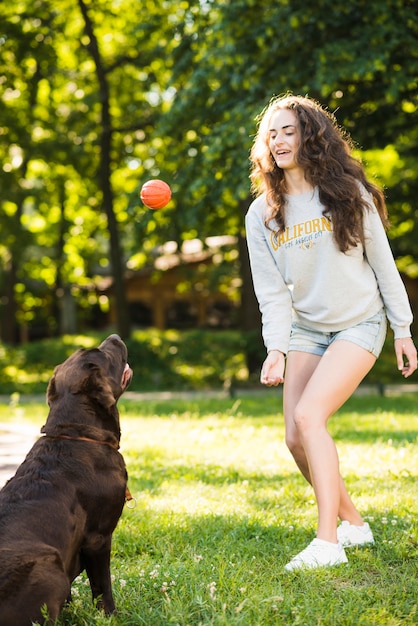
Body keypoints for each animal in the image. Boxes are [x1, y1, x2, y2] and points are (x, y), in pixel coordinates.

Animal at [0, 334, 132, 624]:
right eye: (101, 352)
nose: (115, 336)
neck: (77, 433)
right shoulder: (98, 537)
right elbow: (102, 586)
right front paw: (112, 616)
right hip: (50, 566)